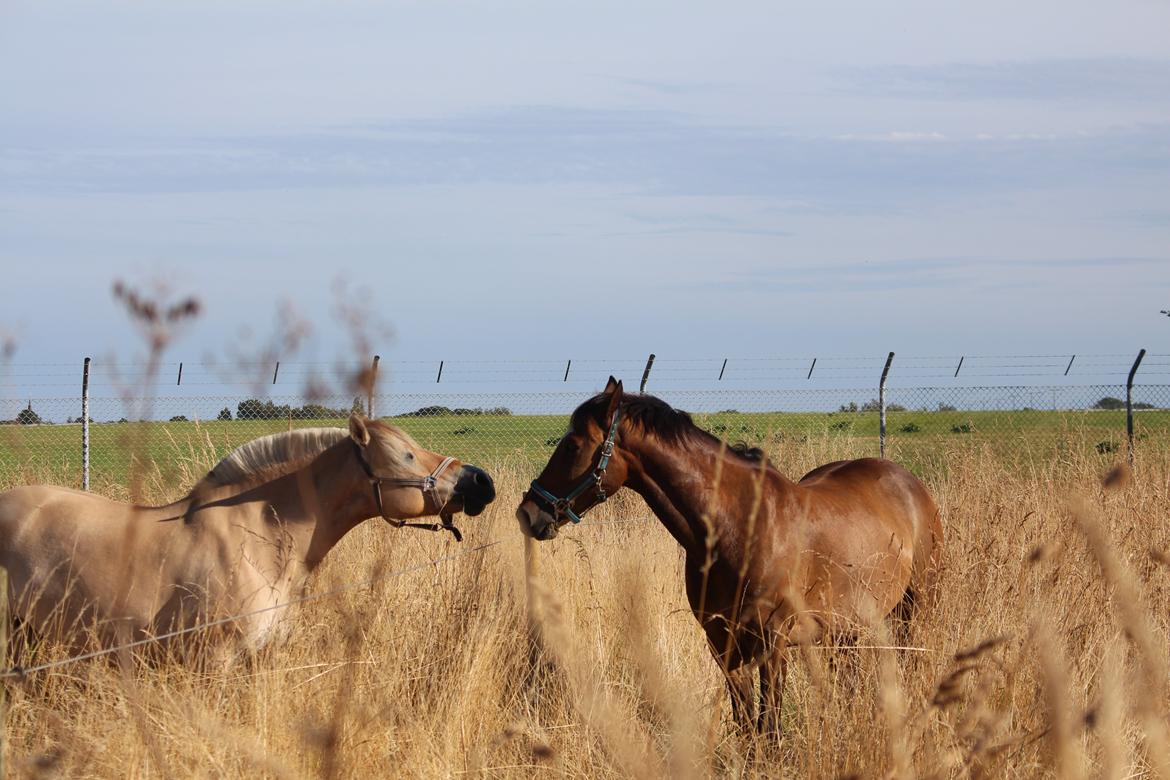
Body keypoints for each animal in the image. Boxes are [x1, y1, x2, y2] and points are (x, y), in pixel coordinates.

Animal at [519, 378, 940, 734]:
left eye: (573, 446)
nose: (529, 513)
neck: (737, 528)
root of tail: (907, 480)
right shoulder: (722, 645)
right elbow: (745, 728)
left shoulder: (772, 645)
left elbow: (769, 727)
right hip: (848, 630)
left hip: (914, 607)